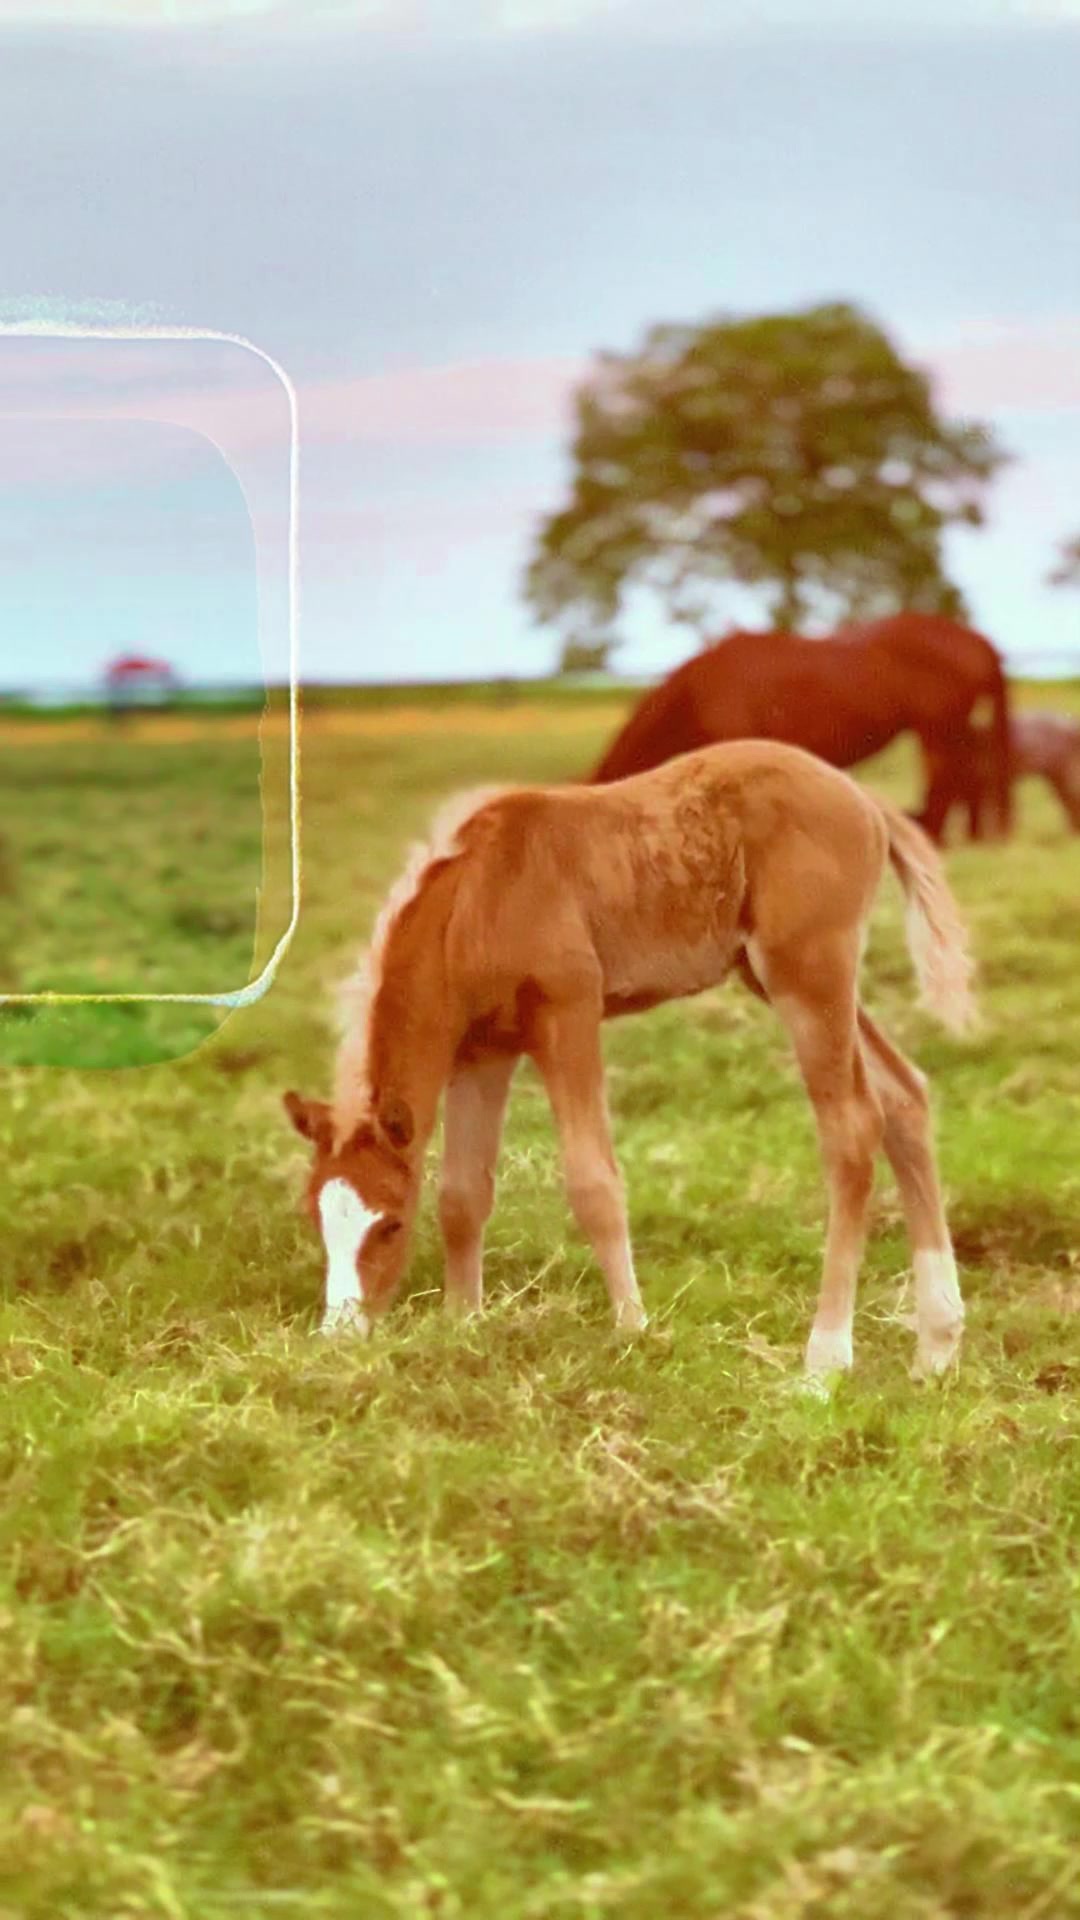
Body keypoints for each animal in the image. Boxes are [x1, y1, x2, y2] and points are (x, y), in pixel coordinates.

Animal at [284, 740, 975, 1384]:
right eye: (315, 1218)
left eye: (391, 1225)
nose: (338, 1337)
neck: (478, 900)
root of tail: (864, 800)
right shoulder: (483, 1053)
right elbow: (461, 1194)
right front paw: (463, 1326)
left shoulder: (569, 1014)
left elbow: (593, 1181)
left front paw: (633, 1330)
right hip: (776, 975)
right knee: (904, 1097)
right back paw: (937, 1349)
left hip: (808, 972)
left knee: (853, 1128)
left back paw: (824, 1360)